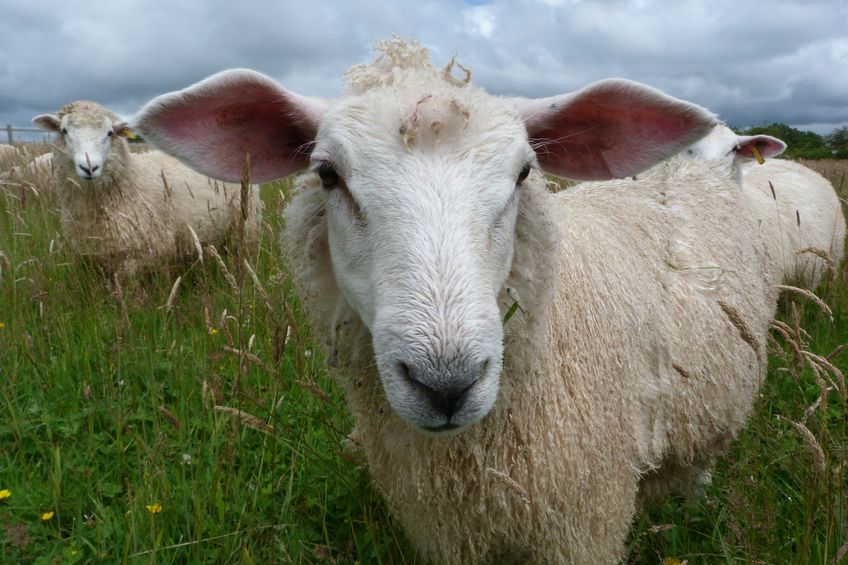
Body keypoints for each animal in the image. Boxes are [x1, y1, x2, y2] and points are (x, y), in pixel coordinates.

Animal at [31, 100, 262, 274]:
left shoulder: (140, 255)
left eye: (109, 133)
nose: (89, 167)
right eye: (64, 131)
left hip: (246, 223)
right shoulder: (94, 259)